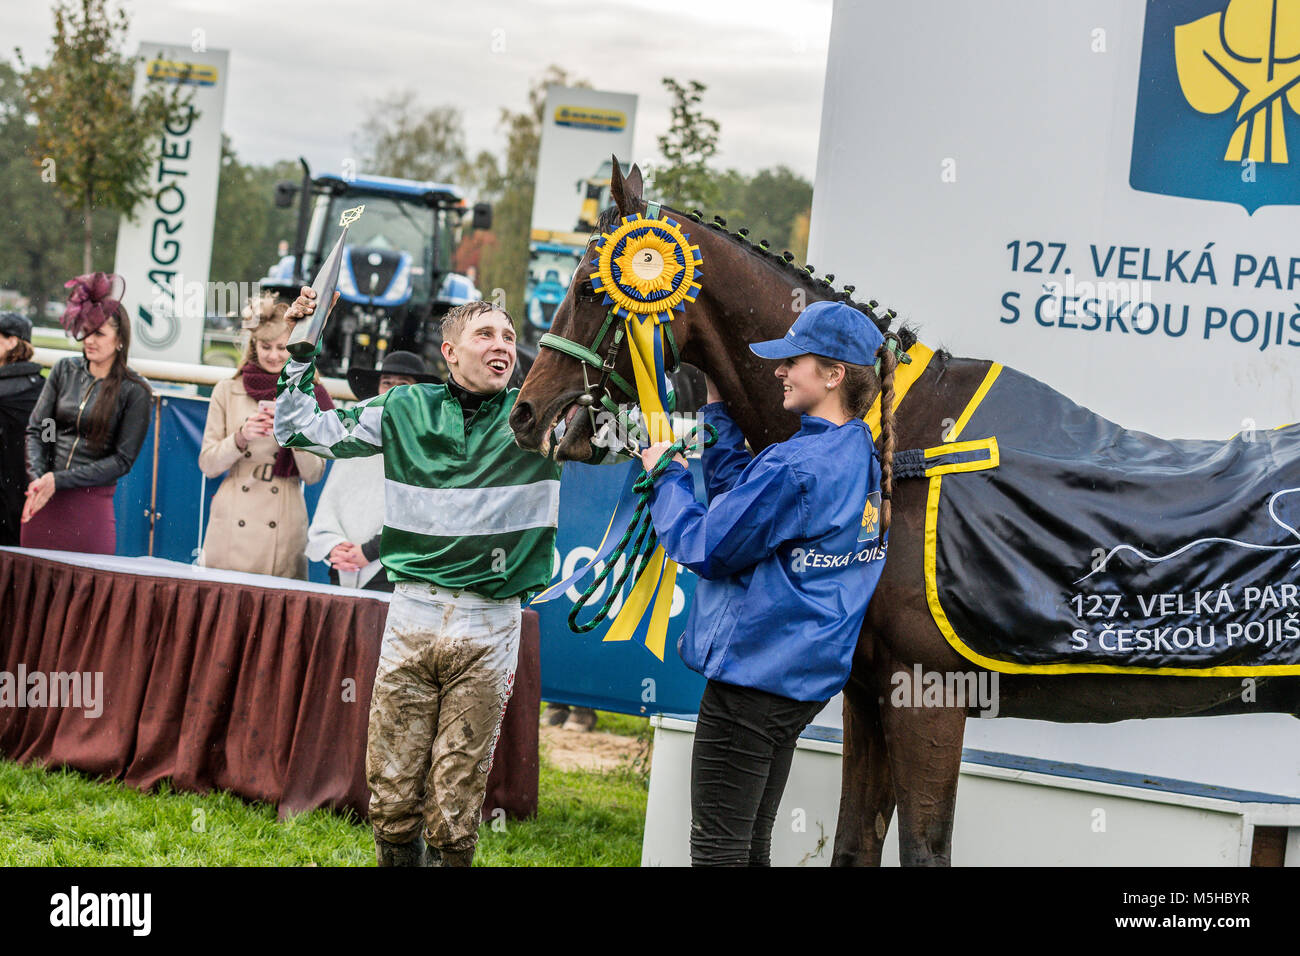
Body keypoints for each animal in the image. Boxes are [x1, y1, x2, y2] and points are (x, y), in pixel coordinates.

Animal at [509, 162, 1300, 868]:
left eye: (588, 287)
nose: (526, 413)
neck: (899, 443)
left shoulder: (928, 697)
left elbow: (925, 848)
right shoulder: (869, 696)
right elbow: (854, 843)